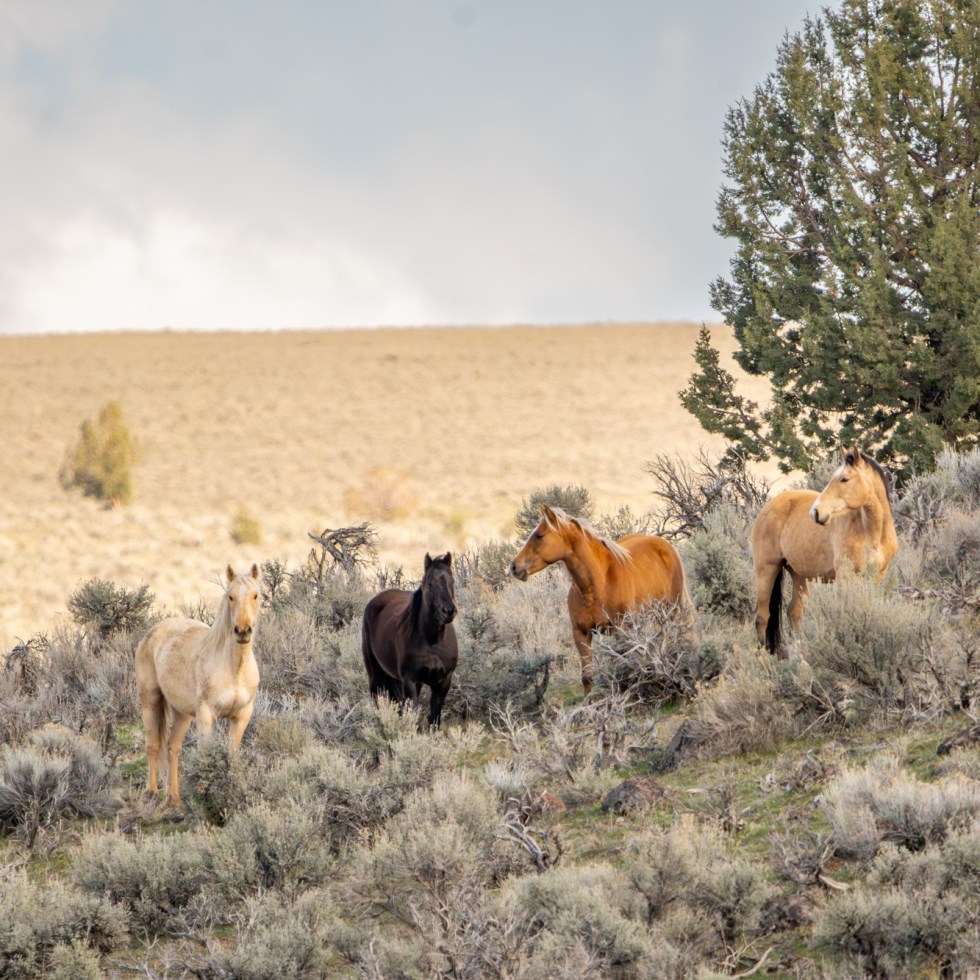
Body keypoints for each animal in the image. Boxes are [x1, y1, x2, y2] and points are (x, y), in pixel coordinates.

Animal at [135, 564, 261, 806]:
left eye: (256, 595)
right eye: (230, 597)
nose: (242, 630)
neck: (234, 669)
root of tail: (152, 632)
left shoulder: (242, 716)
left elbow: (231, 753)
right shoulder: (205, 716)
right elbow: (205, 754)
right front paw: (205, 795)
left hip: (182, 712)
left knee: (172, 747)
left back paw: (174, 798)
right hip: (150, 700)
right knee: (153, 744)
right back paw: (152, 792)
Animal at [361, 552, 458, 728]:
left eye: (452, 581)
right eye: (430, 584)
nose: (449, 611)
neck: (432, 642)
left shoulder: (442, 682)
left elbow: (434, 719)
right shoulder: (412, 682)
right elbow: (413, 716)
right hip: (375, 675)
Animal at [510, 504, 696, 695]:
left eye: (539, 535)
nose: (514, 567)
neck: (597, 584)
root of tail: (664, 545)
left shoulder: (621, 630)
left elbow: (625, 668)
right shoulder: (581, 633)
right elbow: (587, 677)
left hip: (671, 612)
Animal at [752, 446, 898, 657]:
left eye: (844, 479)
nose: (816, 512)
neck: (871, 533)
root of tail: (770, 505)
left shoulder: (877, 576)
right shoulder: (845, 576)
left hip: (799, 575)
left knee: (794, 613)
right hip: (766, 569)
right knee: (763, 616)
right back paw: (761, 657)